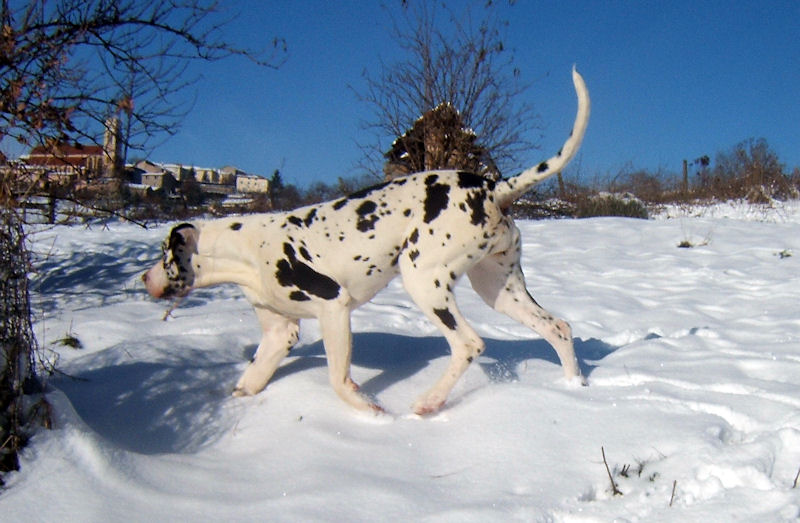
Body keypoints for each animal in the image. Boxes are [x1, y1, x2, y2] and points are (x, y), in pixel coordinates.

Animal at [144, 67, 588, 416]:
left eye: (162, 255)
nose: (145, 279)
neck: (247, 250)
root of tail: (493, 188)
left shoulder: (333, 307)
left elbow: (338, 380)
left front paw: (370, 410)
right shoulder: (278, 335)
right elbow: (251, 378)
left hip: (423, 280)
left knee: (468, 344)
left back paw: (429, 402)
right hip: (499, 289)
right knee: (558, 328)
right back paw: (574, 389)